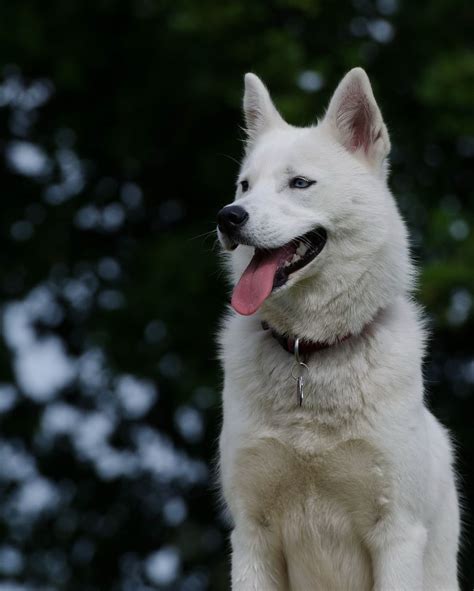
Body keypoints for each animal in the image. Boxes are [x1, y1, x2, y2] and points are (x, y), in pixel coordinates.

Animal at [216, 67, 460, 588]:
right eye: (245, 186)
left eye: (299, 183)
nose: (228, 217)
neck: (309, 351)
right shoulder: (251, 538)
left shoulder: (397, 533)